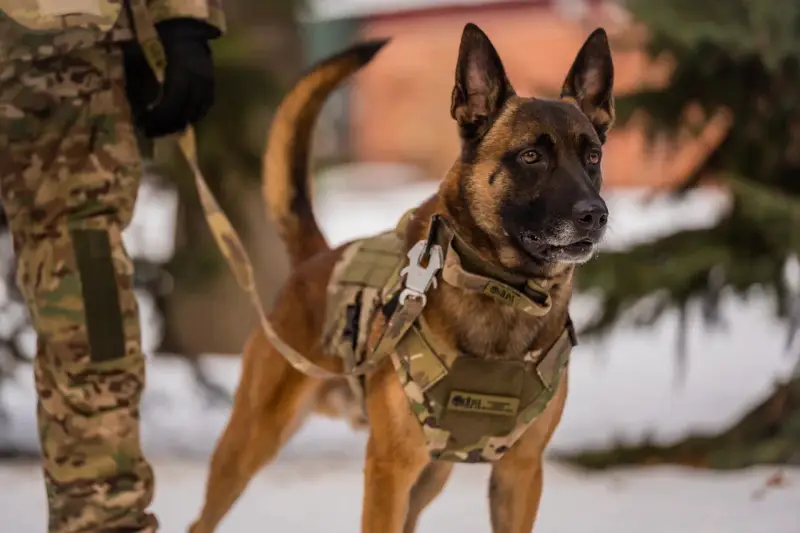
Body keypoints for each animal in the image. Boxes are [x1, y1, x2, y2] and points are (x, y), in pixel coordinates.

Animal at [188, 20, 612, 532]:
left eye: (593, 157)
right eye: (531, 156)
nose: (596, 215)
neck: (502, 292)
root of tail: (318, 257)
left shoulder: (520, 473)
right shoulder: (390, 468)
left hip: (430, 476)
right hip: (250, 442)